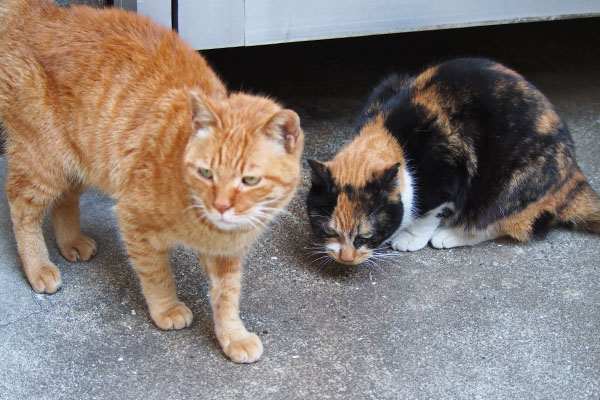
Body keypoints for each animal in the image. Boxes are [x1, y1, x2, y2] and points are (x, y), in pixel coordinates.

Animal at [0, 0, 304, 362]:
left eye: (250, 180)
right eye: (206, 173)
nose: (220, 206)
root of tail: (40, 9)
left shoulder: (226, 255)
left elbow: (227, 295)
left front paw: (232, 335)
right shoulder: (134, 222)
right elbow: (157, 274)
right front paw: (167, 308)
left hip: (84, 158)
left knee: (65, 198)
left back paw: (70, 241)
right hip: (45, 161)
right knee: (22, 208)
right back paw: (38, 267)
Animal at [308, 56, 596, 266]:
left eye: (366, 234)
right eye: (329, 231)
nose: (346, 258)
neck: (392, 137)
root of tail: (574, 176)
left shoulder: (447, 170)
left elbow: (429, 211)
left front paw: (411, 236)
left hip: (509, 185)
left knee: (503, 221)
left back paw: (450, 234)